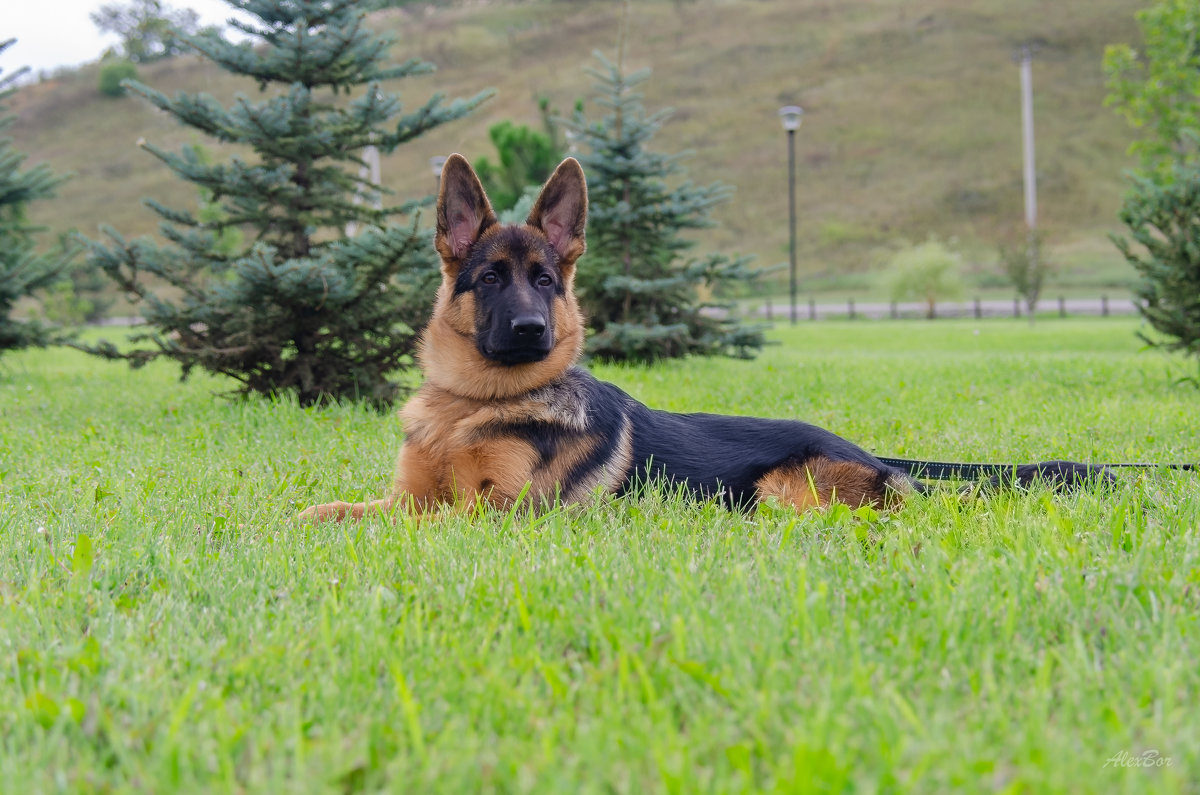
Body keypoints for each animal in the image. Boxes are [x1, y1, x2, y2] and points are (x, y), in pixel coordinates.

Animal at [300, 154, 1104, 523]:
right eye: (491, 278)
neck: (473, 406)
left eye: (547, 280)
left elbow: (419, 524)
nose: (533, 329)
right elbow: (349, 511)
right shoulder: (407, 495)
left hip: (781, 491)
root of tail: (876, 457)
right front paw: (309, 519)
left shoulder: (497, 513)